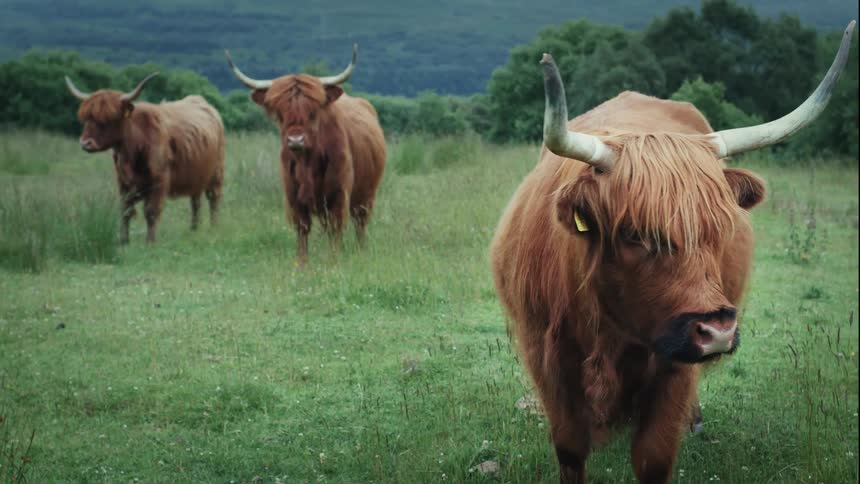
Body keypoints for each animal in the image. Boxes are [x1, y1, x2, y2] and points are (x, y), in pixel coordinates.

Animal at [65, 73, 225, 244]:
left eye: (109, 119)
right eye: (86, 118)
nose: (86, 143)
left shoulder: (159, 181)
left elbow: (151, 212)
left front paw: (150, 242)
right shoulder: (123, 183)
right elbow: (125, 210)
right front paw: (124, 241)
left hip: (216, 172)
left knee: (213, 198)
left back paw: (214, 227)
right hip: (196, 174)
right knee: (195, 201)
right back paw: (194, 229)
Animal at [224, 45, 386, 265]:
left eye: (312, 111)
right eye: (280, 113)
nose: (295, 140)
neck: (308, 163)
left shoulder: (338, 194)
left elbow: (336, 227)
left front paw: (334, 260)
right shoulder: (293, 196)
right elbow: (302, 229)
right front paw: (302, 264)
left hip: (366, 194)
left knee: (359, 222)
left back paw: (362, 252)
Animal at [490, 21, 855, 484]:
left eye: (720, 228)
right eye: (634, 234)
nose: (717, 331)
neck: (607, 328)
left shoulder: (673, 366)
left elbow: (653, 456)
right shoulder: (547, 354)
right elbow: (571, 449)